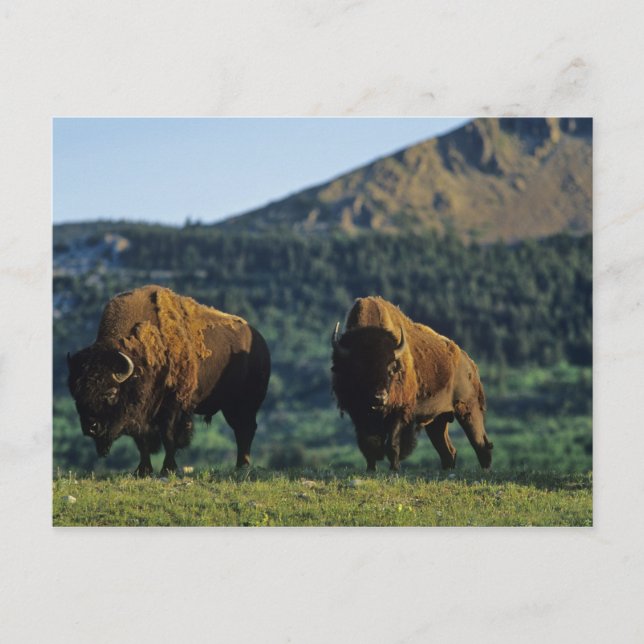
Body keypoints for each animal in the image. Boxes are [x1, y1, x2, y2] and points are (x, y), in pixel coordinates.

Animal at [67, 285, 271, 476]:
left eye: (111, 392)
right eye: (77, 394)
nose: (91, 426)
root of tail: (260, 342)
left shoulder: (172, 406)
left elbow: (169, 436)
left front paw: (168, 468)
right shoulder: (141, 414)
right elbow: (142, 441)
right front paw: (143, 470)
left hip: (244, 404)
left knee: (245, 430)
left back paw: (242, 466)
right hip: (230, 406)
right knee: (242, 430)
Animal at [331, 296, 493, 472]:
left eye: (391, 369)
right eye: (359, 368)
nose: (379, 397)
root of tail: (470, 363)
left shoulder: (400, 412)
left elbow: (392, 444)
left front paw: (394, 469)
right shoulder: (359, 415)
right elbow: (369, 446)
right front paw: (371, 470)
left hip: (468, 410)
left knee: (481, 444)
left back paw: (485, 471)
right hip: (438, 420)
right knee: (448, 451)